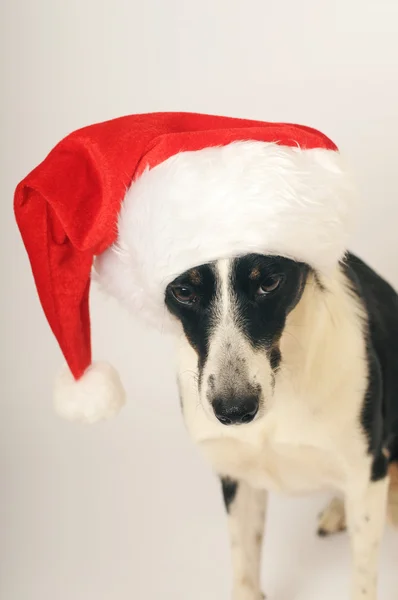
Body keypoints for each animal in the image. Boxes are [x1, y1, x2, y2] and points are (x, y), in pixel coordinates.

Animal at [164, 251, 398, 600]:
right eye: (183, 291)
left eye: (270, 282)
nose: (234, 410)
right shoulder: (237, 475)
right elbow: (244, 561)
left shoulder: (368, 469)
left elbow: (362, 578)